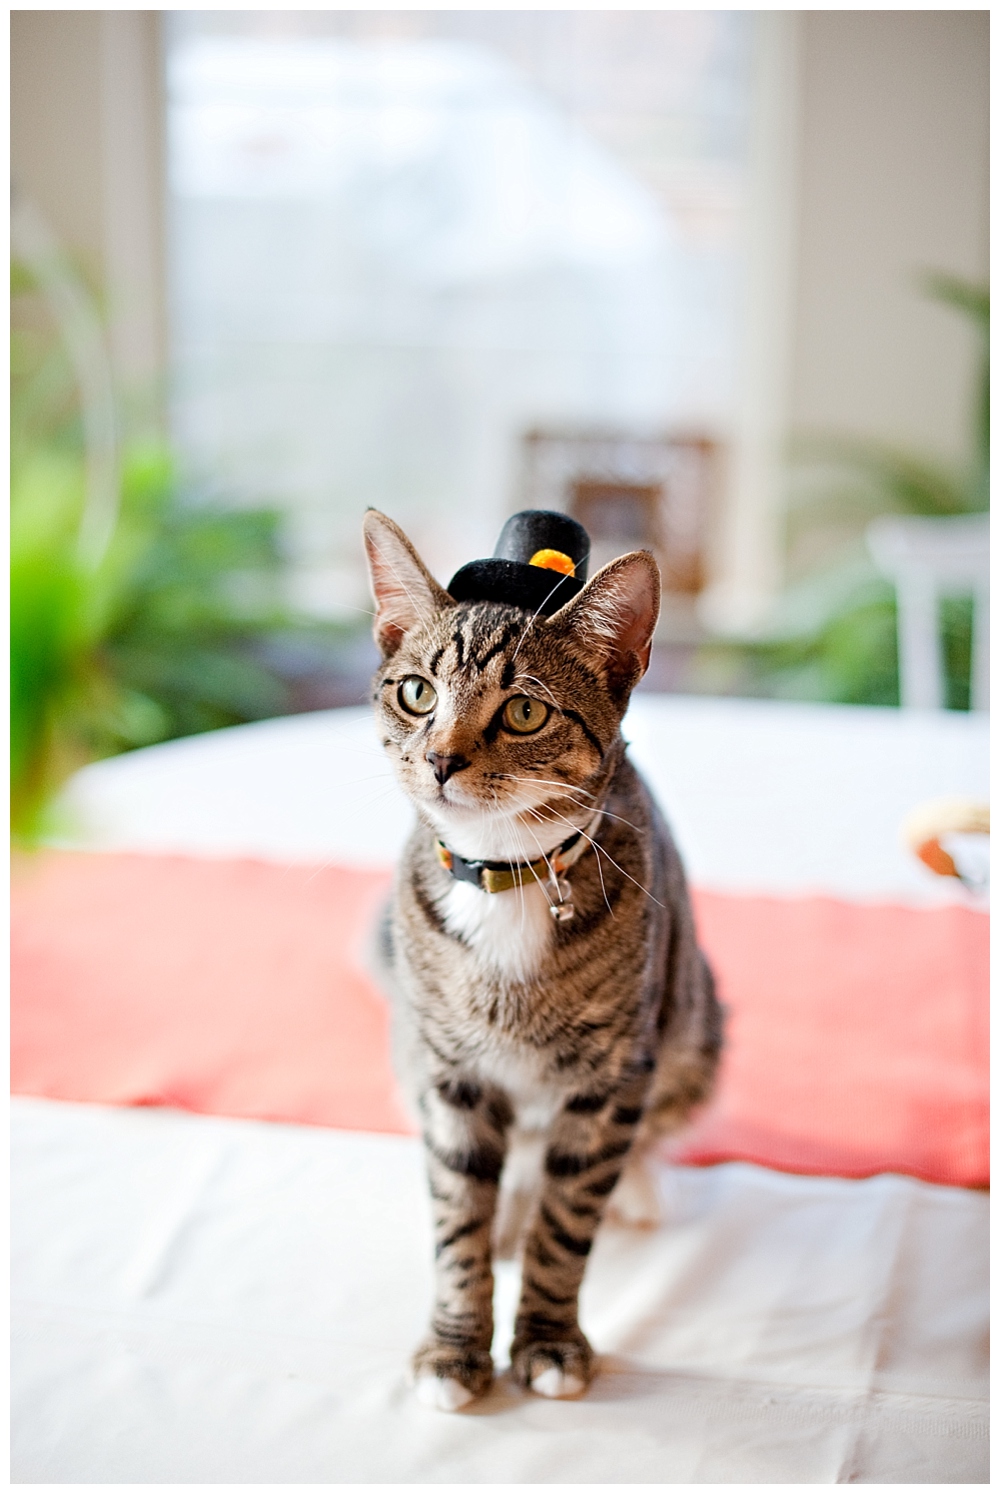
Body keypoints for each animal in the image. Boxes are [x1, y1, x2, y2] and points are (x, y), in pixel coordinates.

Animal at [363, 510, 720, 1410]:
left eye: (524, 710)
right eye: (417, 693)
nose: (440, 760)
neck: (505, 876)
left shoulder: (611, 1076)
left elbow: (568, 1224)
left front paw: (549, 1340)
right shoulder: (448, 1071)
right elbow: (457, 1211)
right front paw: (456, 1344)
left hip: (694, 1025)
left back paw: (629, 1188)